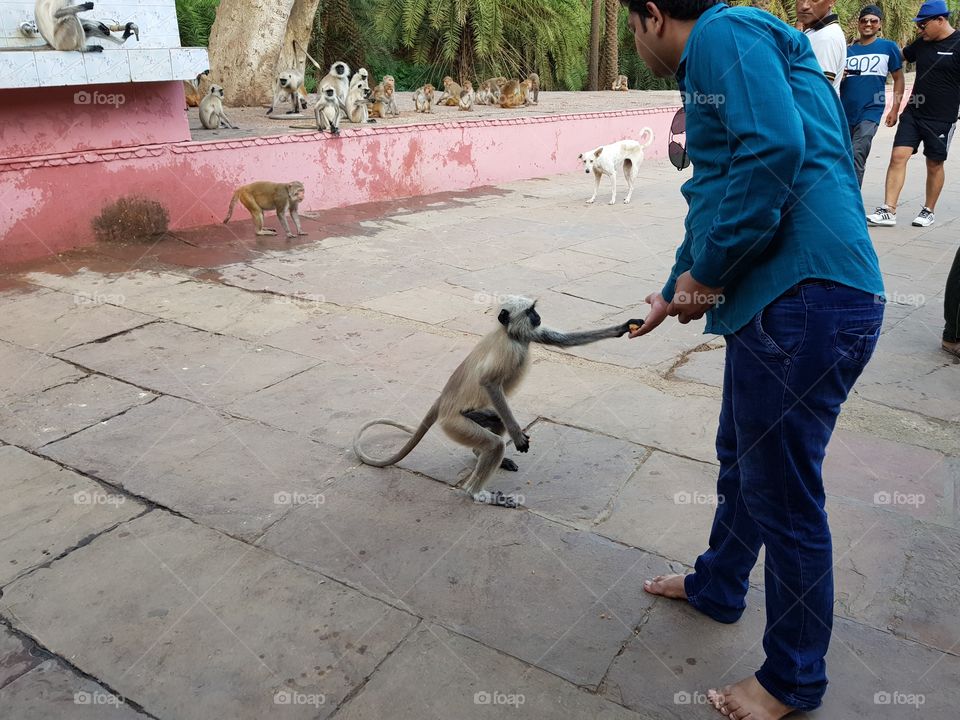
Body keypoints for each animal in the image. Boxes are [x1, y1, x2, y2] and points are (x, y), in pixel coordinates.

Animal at [354, 296, 643, 506]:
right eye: (529, 311)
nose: (538, 316)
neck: (510, 335)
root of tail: (443, 398)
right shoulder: (509, 350)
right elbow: (489, 383)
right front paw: (517, 436)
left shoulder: (527, 334)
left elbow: (563, 340)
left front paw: (624, 326)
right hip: (454, 424)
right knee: (493, 443)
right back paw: (478, 492)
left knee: (495, 421)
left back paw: (479, 452)